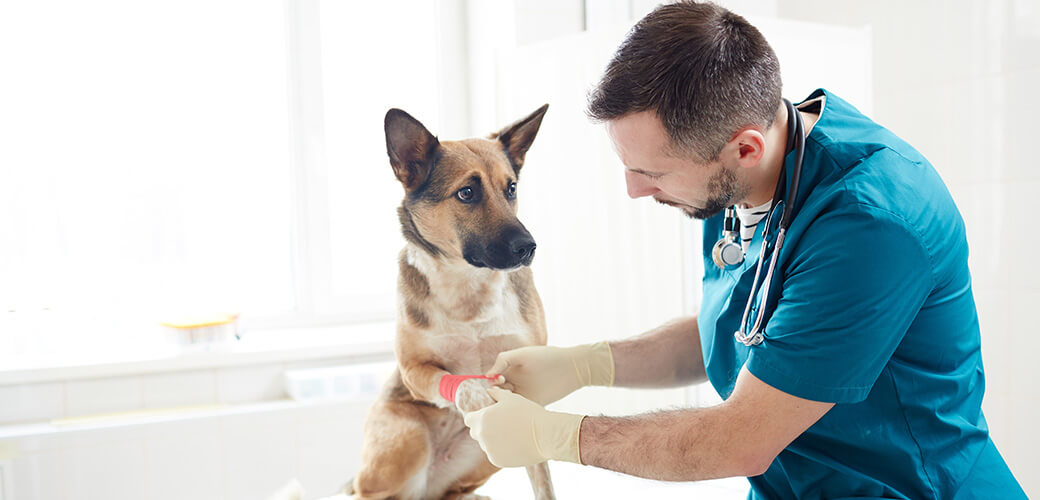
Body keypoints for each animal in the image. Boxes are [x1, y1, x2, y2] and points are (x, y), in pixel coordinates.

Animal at [343, 102, 553, 498]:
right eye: (467, 193)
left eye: (511, 188)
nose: (528, 247)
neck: (467, 284)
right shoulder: (414, 371)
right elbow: (461, 382)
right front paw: (478, 396)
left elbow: (543, 481)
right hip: (404, 436)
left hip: (484, 457)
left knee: (454, 491)